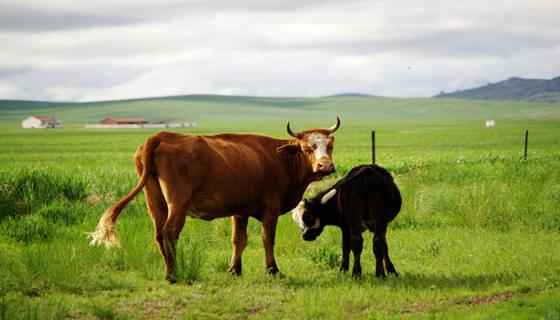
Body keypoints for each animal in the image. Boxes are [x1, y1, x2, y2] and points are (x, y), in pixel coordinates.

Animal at [89, 119, 340, 282]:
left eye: (329, 146)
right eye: (307, 148)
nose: (325, 166)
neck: (279, 158)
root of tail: (160, 136)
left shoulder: (240, 210)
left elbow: (238, 240)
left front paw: (234, 270)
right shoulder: (270, 208)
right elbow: (267, 239)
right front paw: (273, 270)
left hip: (155, 202)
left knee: (159, 234)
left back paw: (168, 269)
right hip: (178, 204)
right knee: (170, 233)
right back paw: (173, 273)